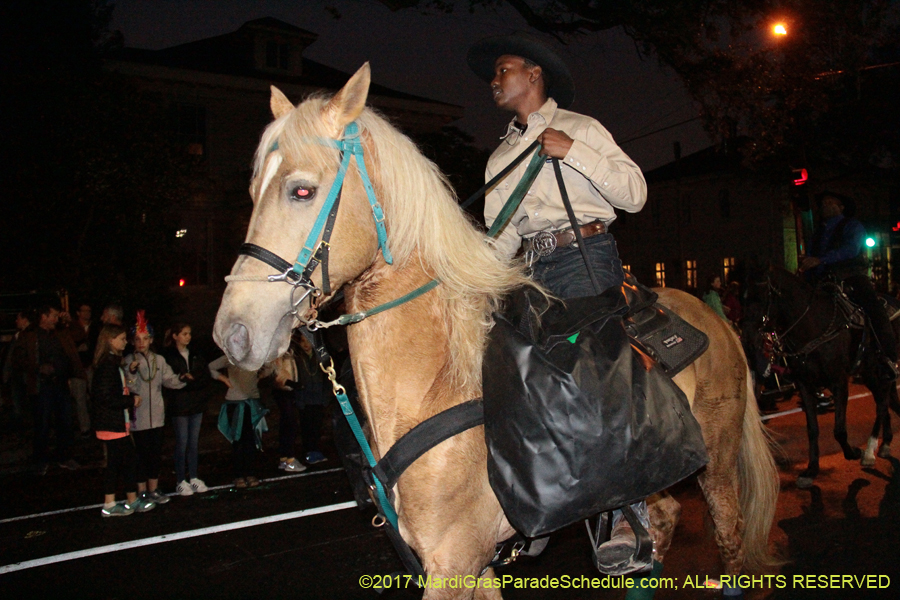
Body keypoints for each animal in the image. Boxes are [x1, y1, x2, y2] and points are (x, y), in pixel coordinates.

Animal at [214, 63, 776, 596]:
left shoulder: (455, 561)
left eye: (301, 190)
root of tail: (714, 319)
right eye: (253, 191)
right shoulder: (468, 563)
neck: (439, 380)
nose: (234, 333)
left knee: (728, 533)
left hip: (716, 463)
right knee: (661, 520)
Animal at [744, 266, 900, 488]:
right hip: (868, 373)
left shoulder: (839, 382)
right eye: (744, 298)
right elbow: (812, 429)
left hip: (879, 369)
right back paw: (885, 442)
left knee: (882, 401)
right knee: (885, 400)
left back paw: (870, 451)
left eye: (761, 298)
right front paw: (811, 470)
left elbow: (839, 429)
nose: (746, 341)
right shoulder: (805, 385)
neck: (814, 327)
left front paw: (854, 452)